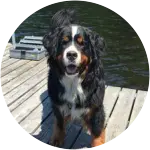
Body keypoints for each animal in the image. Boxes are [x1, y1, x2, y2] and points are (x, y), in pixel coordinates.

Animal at [42, 8, 106, 148]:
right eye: (64, 42)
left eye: (82, 44)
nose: (71, 54)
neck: (74, 81)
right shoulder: (58, 103)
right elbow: (59, 123)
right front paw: (57, 139)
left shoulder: (96, 106)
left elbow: (97, 130)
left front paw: (98, 144)